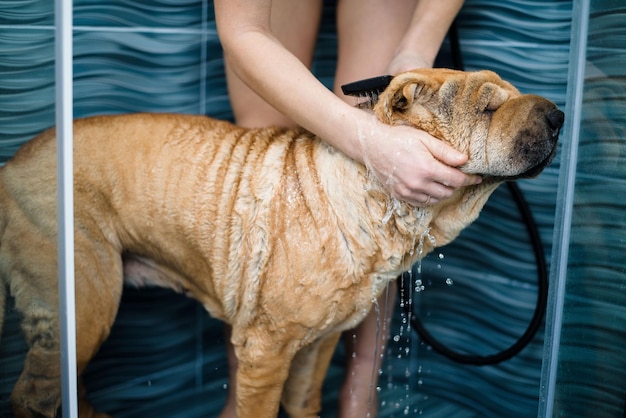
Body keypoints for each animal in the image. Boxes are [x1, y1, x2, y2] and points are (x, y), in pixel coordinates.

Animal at [0, 69, 560, 418]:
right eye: (488, 108)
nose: (558, 114)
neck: (373, 197)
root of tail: (10, 165)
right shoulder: (265, 352)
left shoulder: (317, 347)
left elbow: (303, 403)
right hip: (86, 301)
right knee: (34, 395)